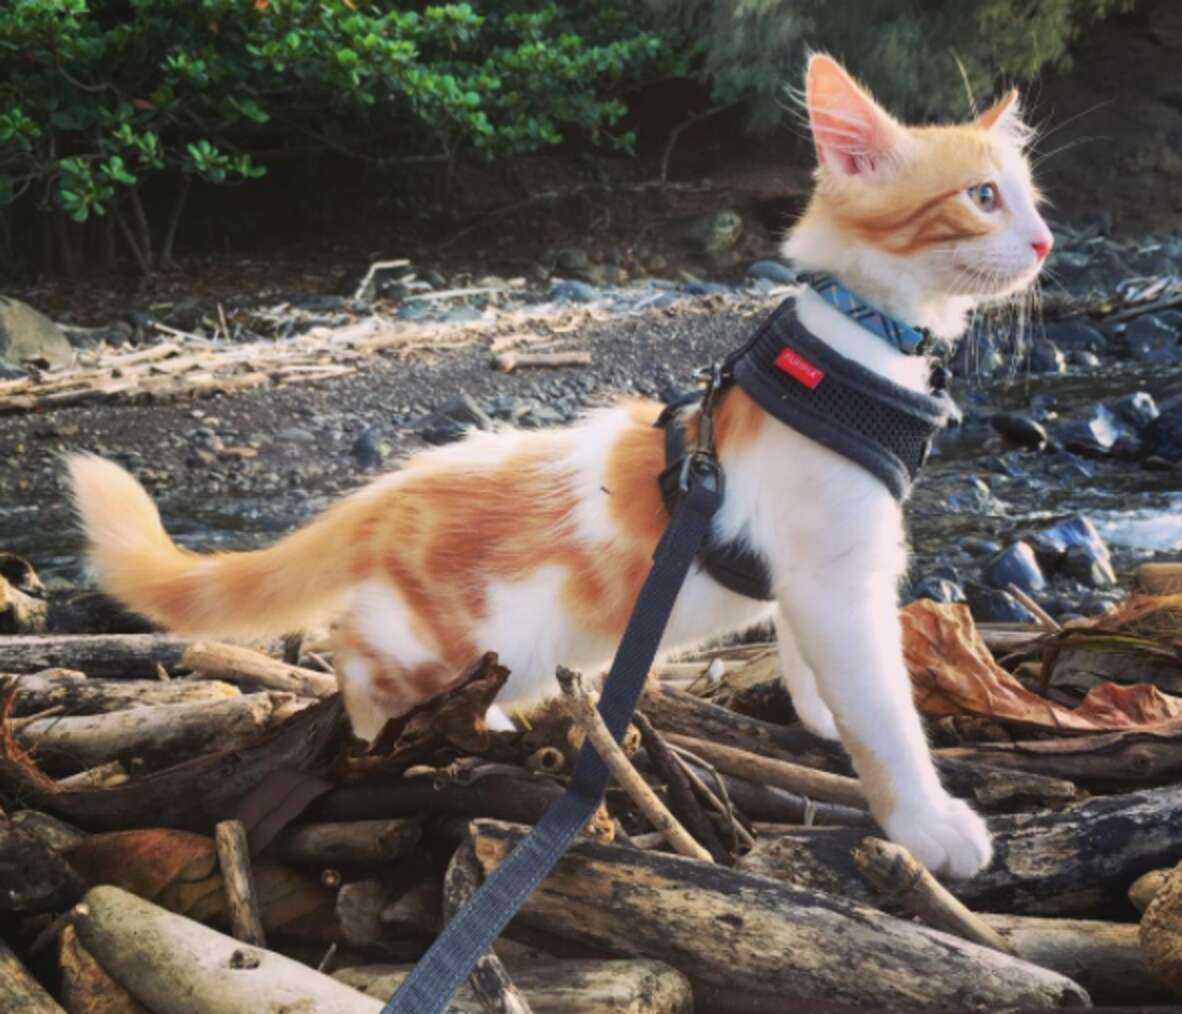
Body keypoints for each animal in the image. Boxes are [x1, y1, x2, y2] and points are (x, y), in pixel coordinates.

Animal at [67, 53, 1054, 879]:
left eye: (1031, 195)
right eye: (982, 197)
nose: (1046, 241)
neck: (855, 355)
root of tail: (385, 494)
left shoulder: (822, 580)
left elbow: (819, 667)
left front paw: (817, 715)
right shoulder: (835, 578)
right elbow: (884, 714)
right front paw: (927, 824)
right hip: (444, 639)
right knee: (354, 662)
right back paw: (415, 728)